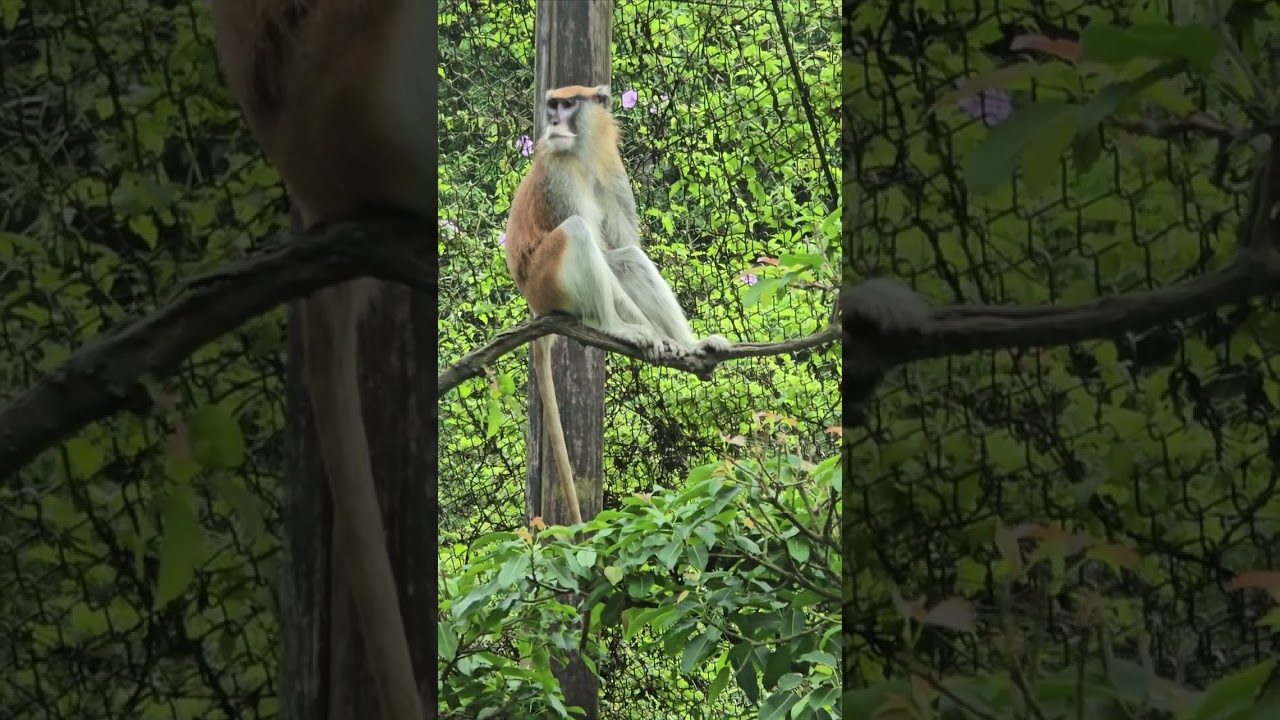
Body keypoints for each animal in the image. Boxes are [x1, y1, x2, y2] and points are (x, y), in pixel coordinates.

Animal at [503, 84, 732, 526]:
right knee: (577, 233)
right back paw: (616, 327)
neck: (583, 154)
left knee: (627, 257)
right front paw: (655, 337)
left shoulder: (612, 173)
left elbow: (622, 250)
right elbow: (594, 244)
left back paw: (693, 346)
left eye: (567, 105)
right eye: (552, 104)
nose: (551, 120)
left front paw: (682, 343)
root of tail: (533, 305)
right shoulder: (559, 175)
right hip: (546, 280)